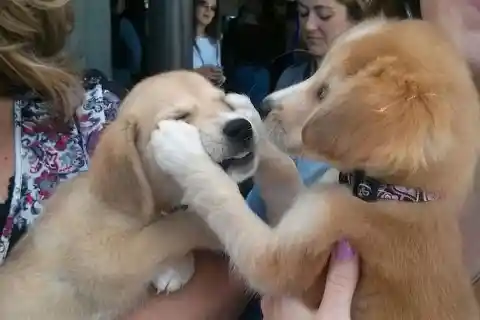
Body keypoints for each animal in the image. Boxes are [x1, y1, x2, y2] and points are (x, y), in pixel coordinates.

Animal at [152, 18, 480, 318]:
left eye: (323, 93)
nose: (264, 104)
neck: (394, 195)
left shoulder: (275, 261)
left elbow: (223, 200)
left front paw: (182, 147)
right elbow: (283, 169)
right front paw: (248, 114)